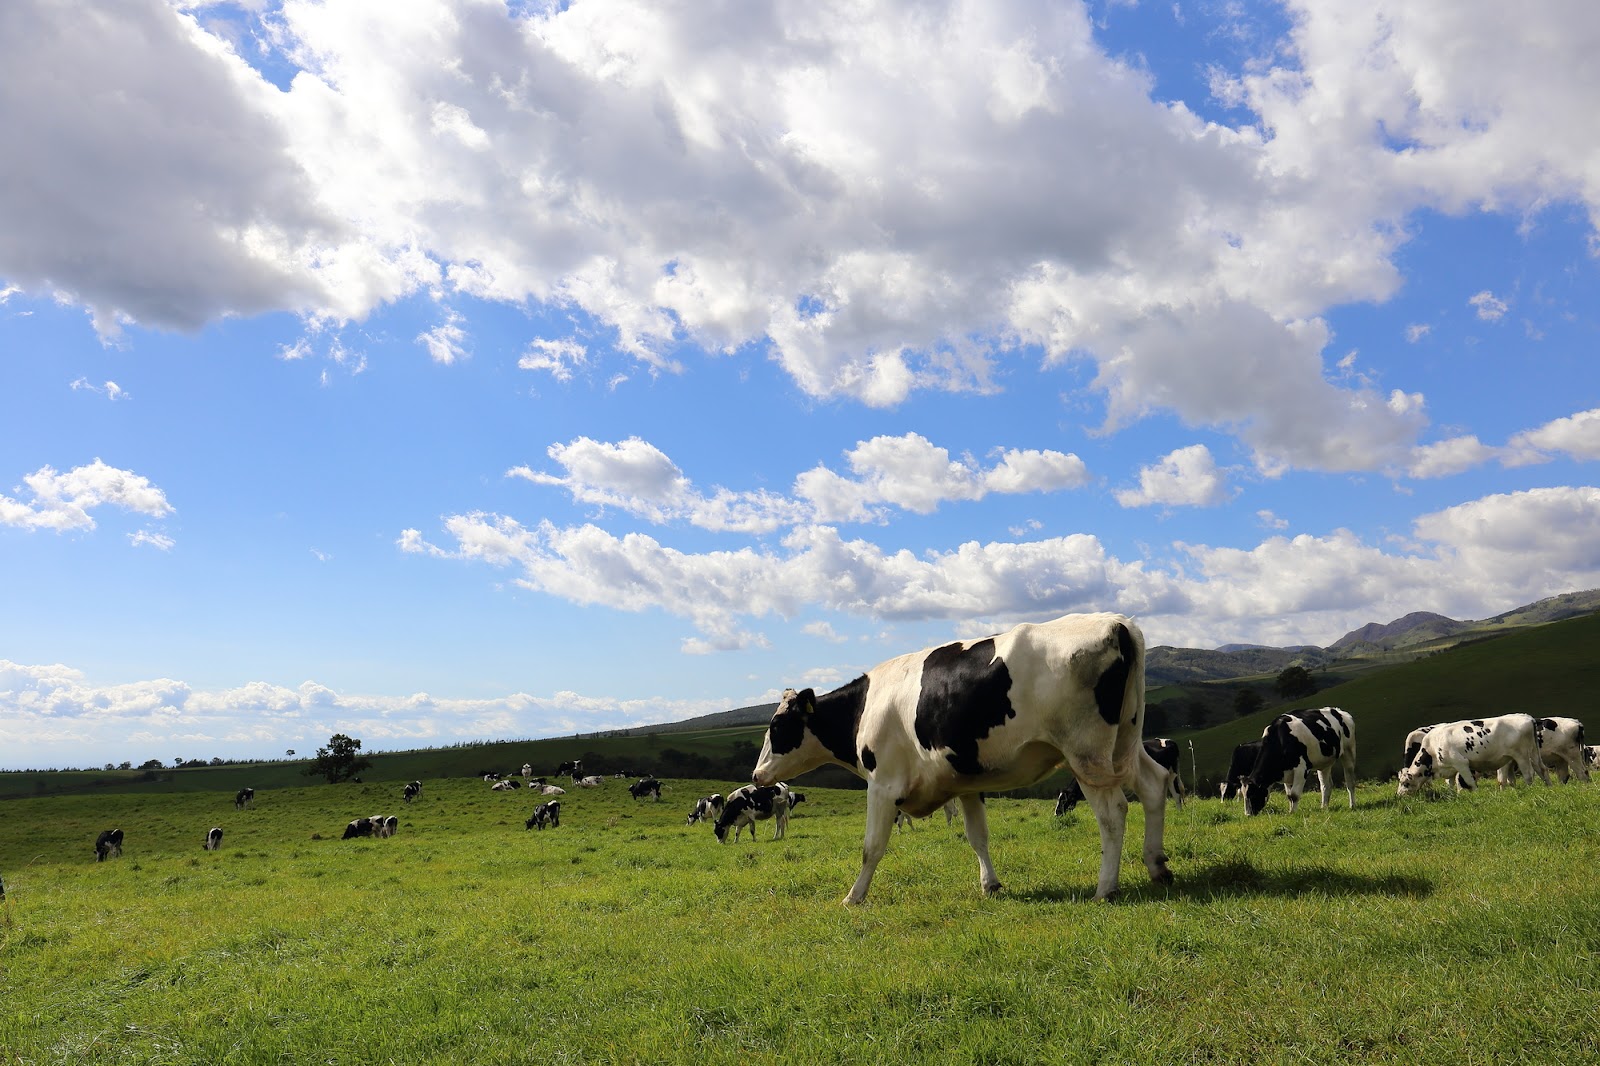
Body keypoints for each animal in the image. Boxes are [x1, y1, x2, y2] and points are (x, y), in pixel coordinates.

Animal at [742, 611, 1171, 902]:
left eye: (777, 727)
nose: (757, 774)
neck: (866, 708)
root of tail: (1116, 623)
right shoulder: (966, 781)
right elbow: (977, 836)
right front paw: (991, 885)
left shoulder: (883, 785)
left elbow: (871, 847)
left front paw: (853, 897)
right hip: (1127, 741)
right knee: (1153, 786)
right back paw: (1157, 865)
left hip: (1086, 752)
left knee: (1113, 812)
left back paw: (1105, 888)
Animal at [1401, 710, 1548, 793]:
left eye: (1405, 783)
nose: (1399, 795)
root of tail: (1527, 717)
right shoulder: (1449, 767)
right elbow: (1451, 783)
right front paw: (1452, 795)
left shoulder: (1461, 763)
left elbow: (1469, 782)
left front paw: (1476, 794)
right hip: (1533, 752)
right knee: (1542, 769)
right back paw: (1549, 787)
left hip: (1521, 754)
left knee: (1529, 774)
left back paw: (1530, 791)